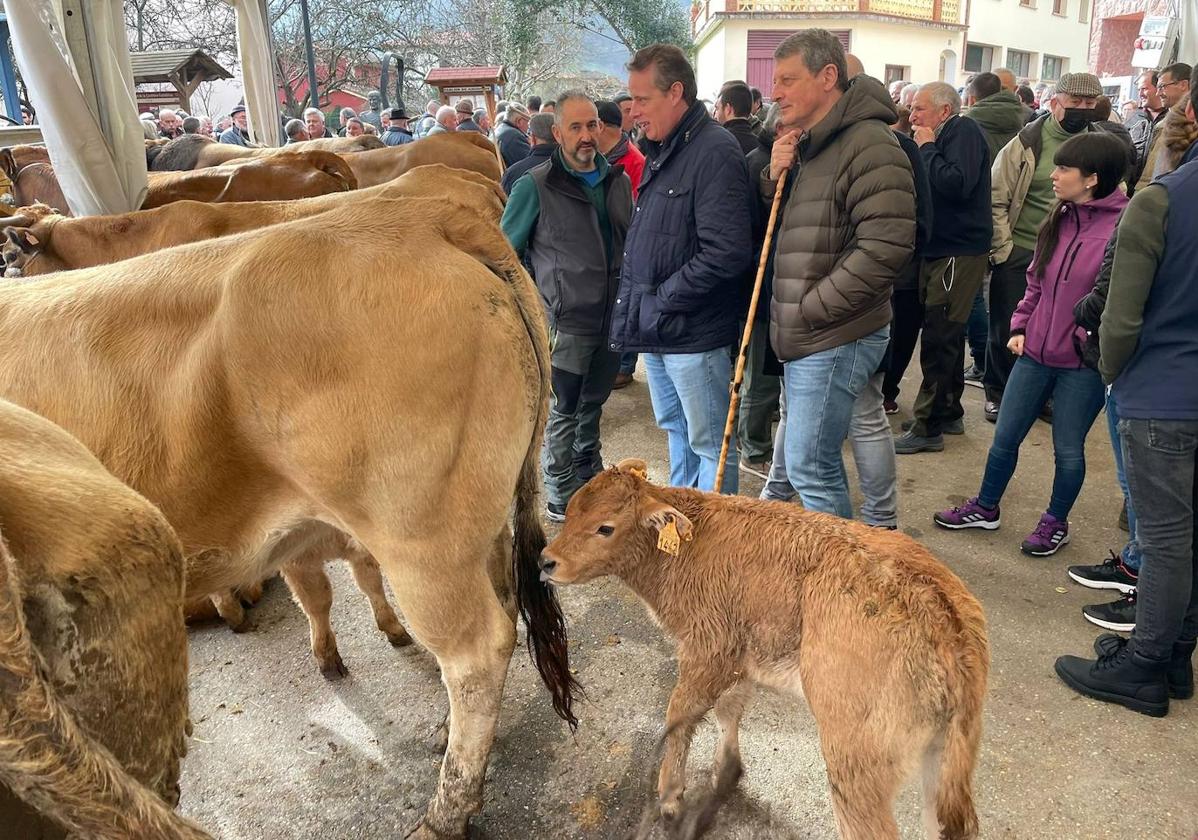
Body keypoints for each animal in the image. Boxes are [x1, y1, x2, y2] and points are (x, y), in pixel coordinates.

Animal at [543, 457, 991, 838]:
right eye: (571, 511)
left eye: (605, 527)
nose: (547, 561)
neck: (688, 548)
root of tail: (946, 618)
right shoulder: (742, 656)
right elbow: (728, 709)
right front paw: (726, 774)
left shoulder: (707, 651)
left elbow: (680, 716)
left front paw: (670, 799)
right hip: (939, 758)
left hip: (854, 759)